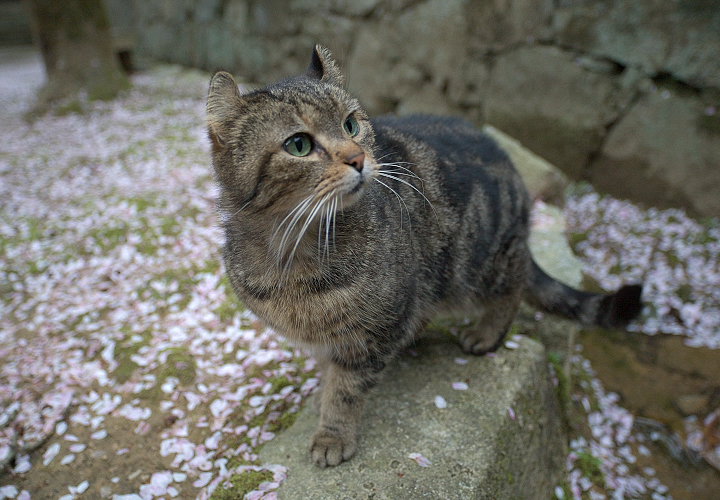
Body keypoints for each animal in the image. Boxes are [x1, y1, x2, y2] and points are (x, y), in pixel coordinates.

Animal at [204, 45, 640, 466]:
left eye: (350, 125)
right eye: (299, 145)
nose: (358, 158)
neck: (292, 249)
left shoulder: (370, 334)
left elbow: (345, 391)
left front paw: (333, 433)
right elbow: (330, 369)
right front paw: (322, 394)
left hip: (482, 264)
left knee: (511, 287)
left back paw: (486, 333)